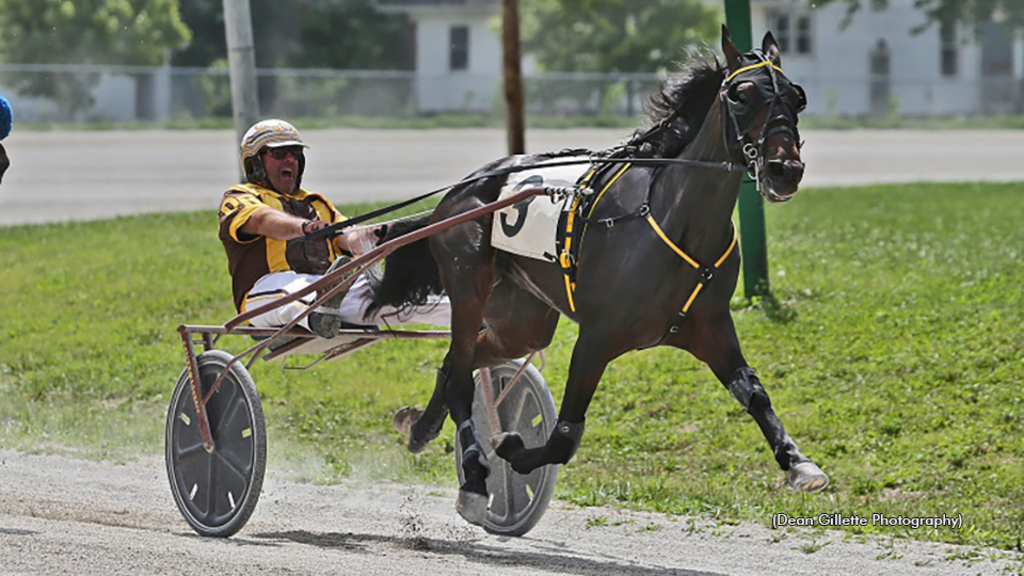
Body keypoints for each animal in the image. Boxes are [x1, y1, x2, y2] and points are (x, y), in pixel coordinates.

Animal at [372, 28, 827, 524]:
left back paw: (420, 427)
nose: (785, 170)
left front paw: (799, 462)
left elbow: (754, 394)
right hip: (469, 283)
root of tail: (463, 188)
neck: (676, 221)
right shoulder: (597, 335)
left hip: (521, 319)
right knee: (459, 374)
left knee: (462, 361)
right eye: (741, 95)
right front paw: (510, 448)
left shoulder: (711, 327)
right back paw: (474, 476)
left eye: (797, 98)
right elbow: (563, 436)